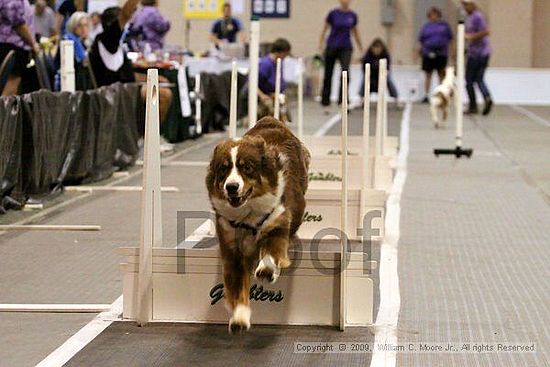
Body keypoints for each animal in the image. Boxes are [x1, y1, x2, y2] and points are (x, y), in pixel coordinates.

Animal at [206, 117, 310, 334]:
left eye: (247, 167)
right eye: (223, 169)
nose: (231, 187)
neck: (248, 213)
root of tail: (270, 120)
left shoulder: (278, 221)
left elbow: (272, 250)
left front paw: (267, 270)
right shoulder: (231, 248)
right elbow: (237, 286)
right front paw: (239, 317)